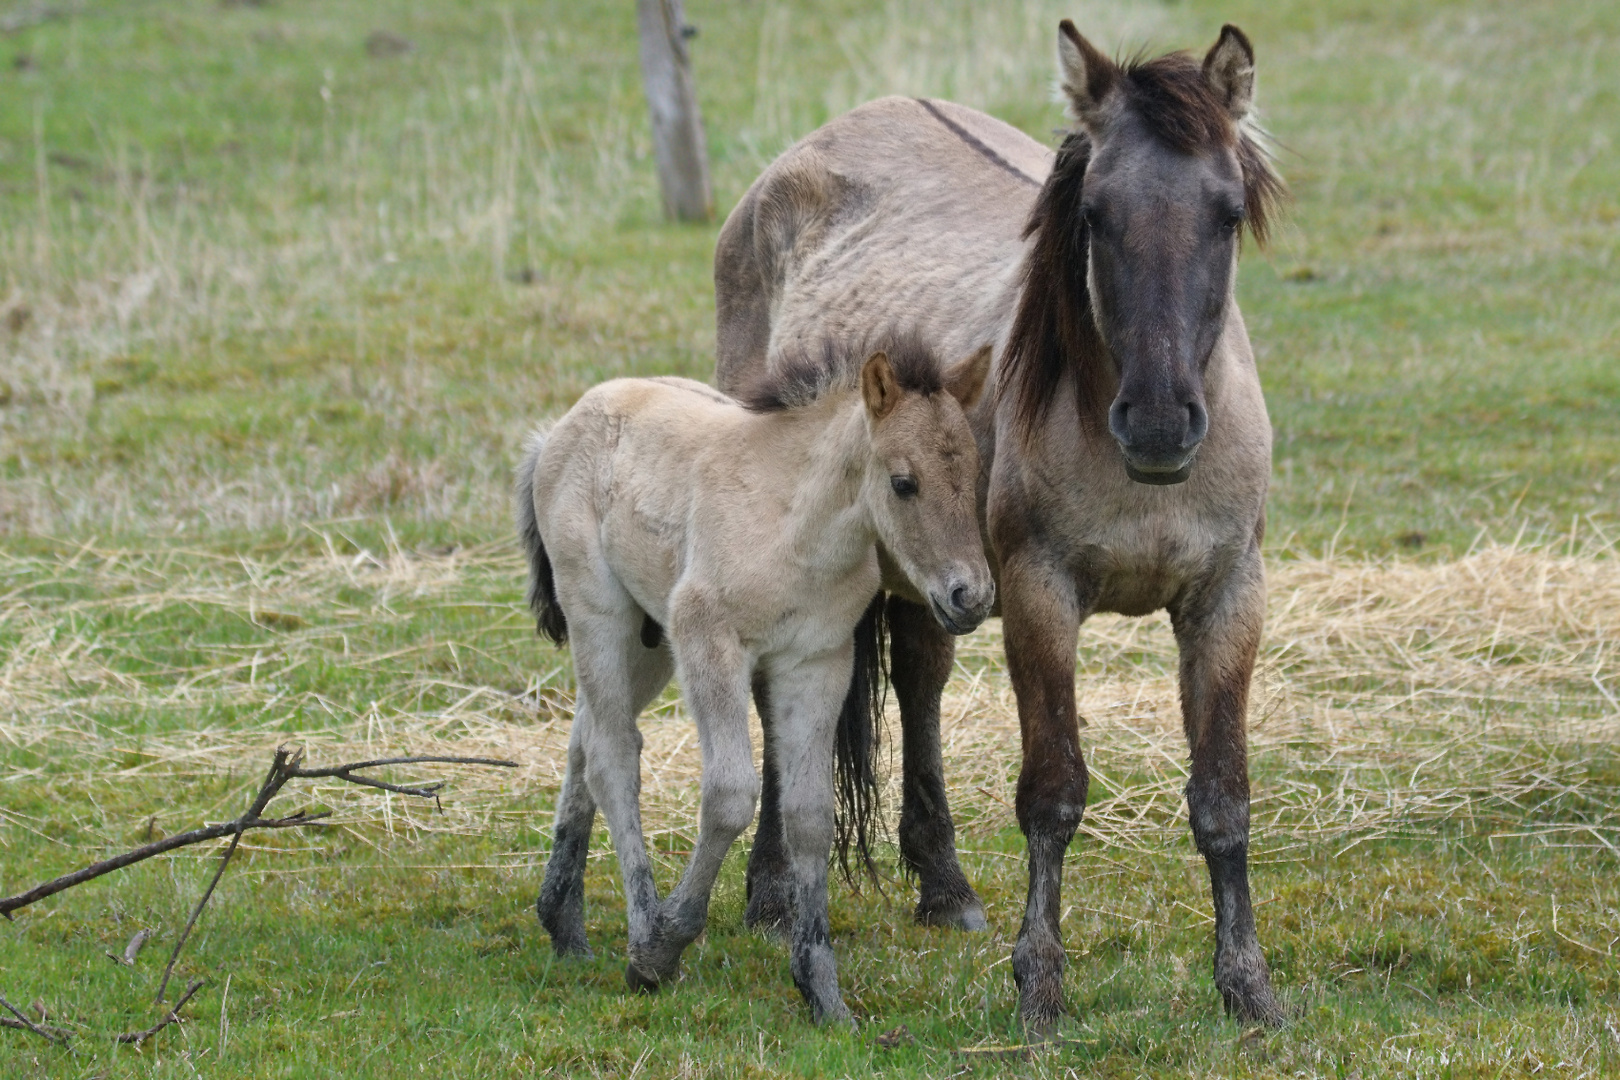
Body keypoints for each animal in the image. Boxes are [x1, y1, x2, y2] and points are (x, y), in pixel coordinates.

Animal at [518, 338, 997, 1023]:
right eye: (904, 483)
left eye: (976, 474)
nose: (971, 597)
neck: (797, 525)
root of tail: (565, 423)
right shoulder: (709, 640)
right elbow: (730, 795)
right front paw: (663, 948)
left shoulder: (816, 663)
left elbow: (810, 815)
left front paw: (822, 989)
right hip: (600, 613)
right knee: (612, 756)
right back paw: (639, 930)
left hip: (649, 637)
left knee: (585, 740)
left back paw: (564, 923)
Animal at [716, 21, 1283, 1029]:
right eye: (1095, 213)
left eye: (1225, 213)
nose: (1158, 422)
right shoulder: (1037, 596)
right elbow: (1052, 791)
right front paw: (1041, 986)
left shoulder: (1227, 598)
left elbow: (1223, 796)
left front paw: (1249, 988)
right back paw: (774, 896)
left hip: (931, 577)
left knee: (921, 680)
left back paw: (944, 886)